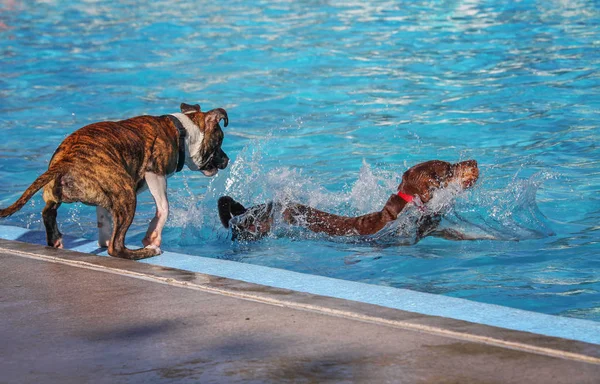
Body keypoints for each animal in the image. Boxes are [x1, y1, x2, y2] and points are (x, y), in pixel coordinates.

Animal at [0, 102, 230, 260]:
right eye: (219, 142)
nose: (227, 159)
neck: (182, 131)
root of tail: (66, 161)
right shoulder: (154, 172)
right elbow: (163, 207)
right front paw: (152, 235)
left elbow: (104, 217)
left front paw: (104, 236)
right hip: (126, 194)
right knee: (116, 247)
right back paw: (145, 251)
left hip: (62, 191)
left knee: (49, 211)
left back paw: (57, 240)